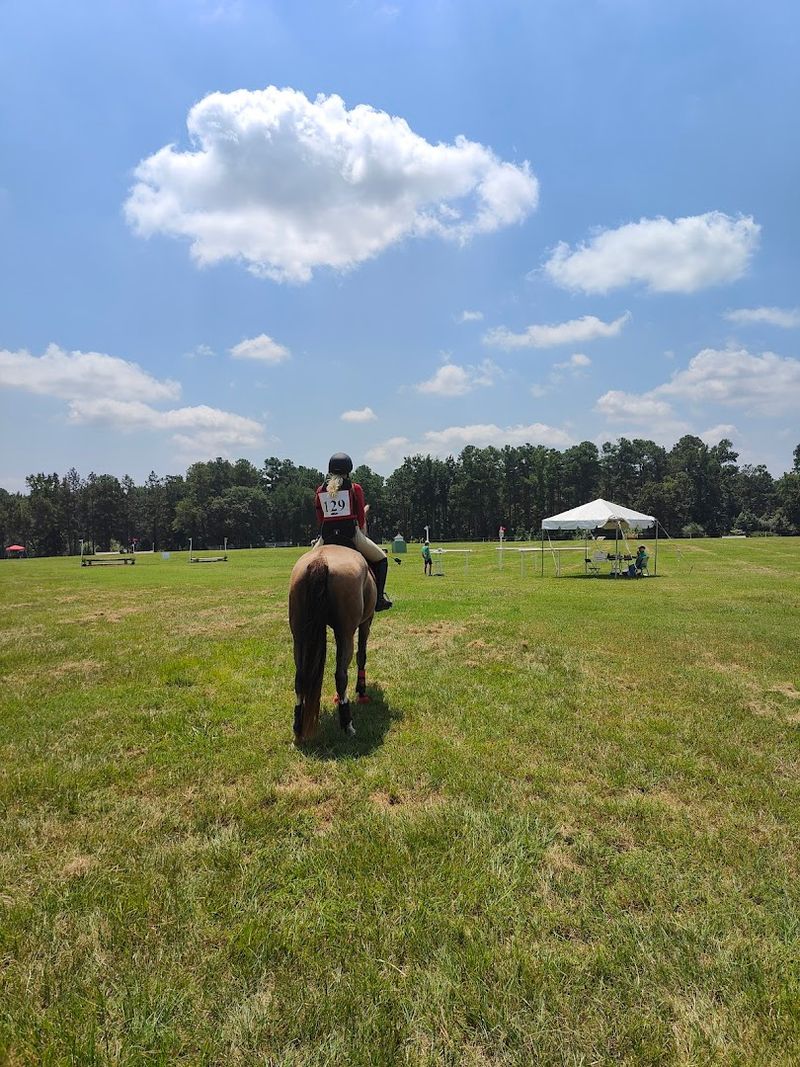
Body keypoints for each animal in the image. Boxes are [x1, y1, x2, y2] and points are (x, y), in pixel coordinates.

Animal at [289, 543, 377, 742]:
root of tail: (321, 560)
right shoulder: (365, 622)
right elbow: (362, 655)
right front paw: (361, 690)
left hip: (299, 635)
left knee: (300, 677)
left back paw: (298, 729)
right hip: (346, 632)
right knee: (341, 675)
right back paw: (347, 724)